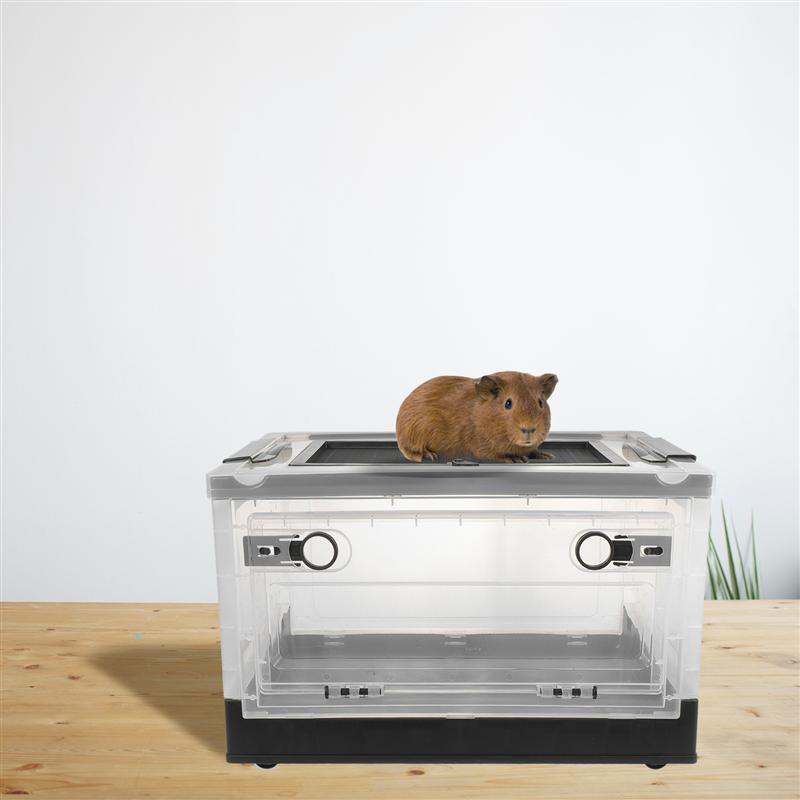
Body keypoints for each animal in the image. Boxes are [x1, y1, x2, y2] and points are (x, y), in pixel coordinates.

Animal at [396, 371, 558, 463]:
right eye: (508, 403)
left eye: (540, 402)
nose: (529, 429)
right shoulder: (482, 448)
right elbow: (497, 455)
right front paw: (517, 459)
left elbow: (533, 451)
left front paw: (547, 456)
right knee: (410, 451)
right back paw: (428, 456)